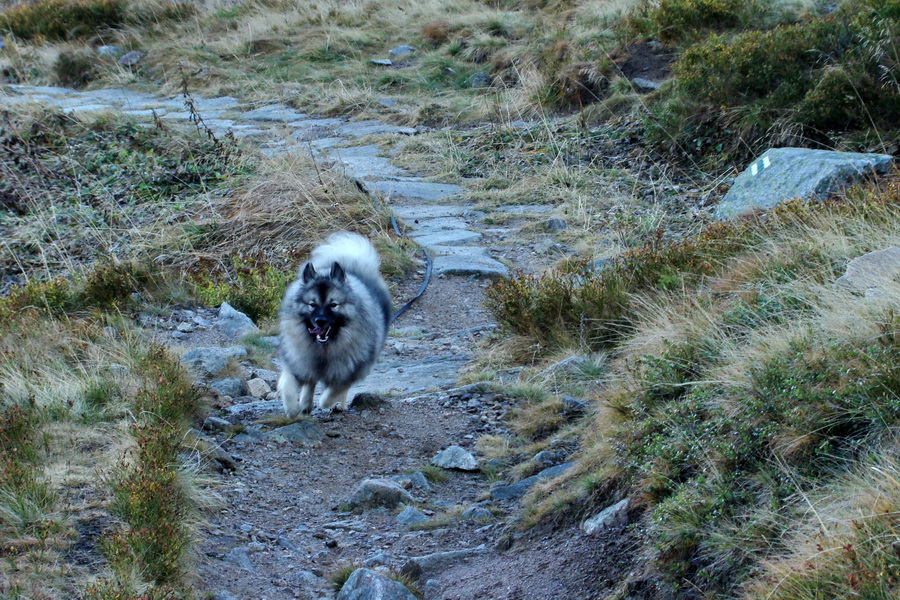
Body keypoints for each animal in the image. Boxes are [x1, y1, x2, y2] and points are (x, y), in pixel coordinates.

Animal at [276, 232, 392, 414]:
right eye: (312, 304)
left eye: (333, 304)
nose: (320, 321)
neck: (324, 350)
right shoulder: (298, 363)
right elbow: (288, 386)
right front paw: (293, 409)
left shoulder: (350, 371)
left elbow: (331, 393)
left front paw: (328, 402)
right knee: (311, 382)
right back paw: (305, 404)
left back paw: (337, 405)